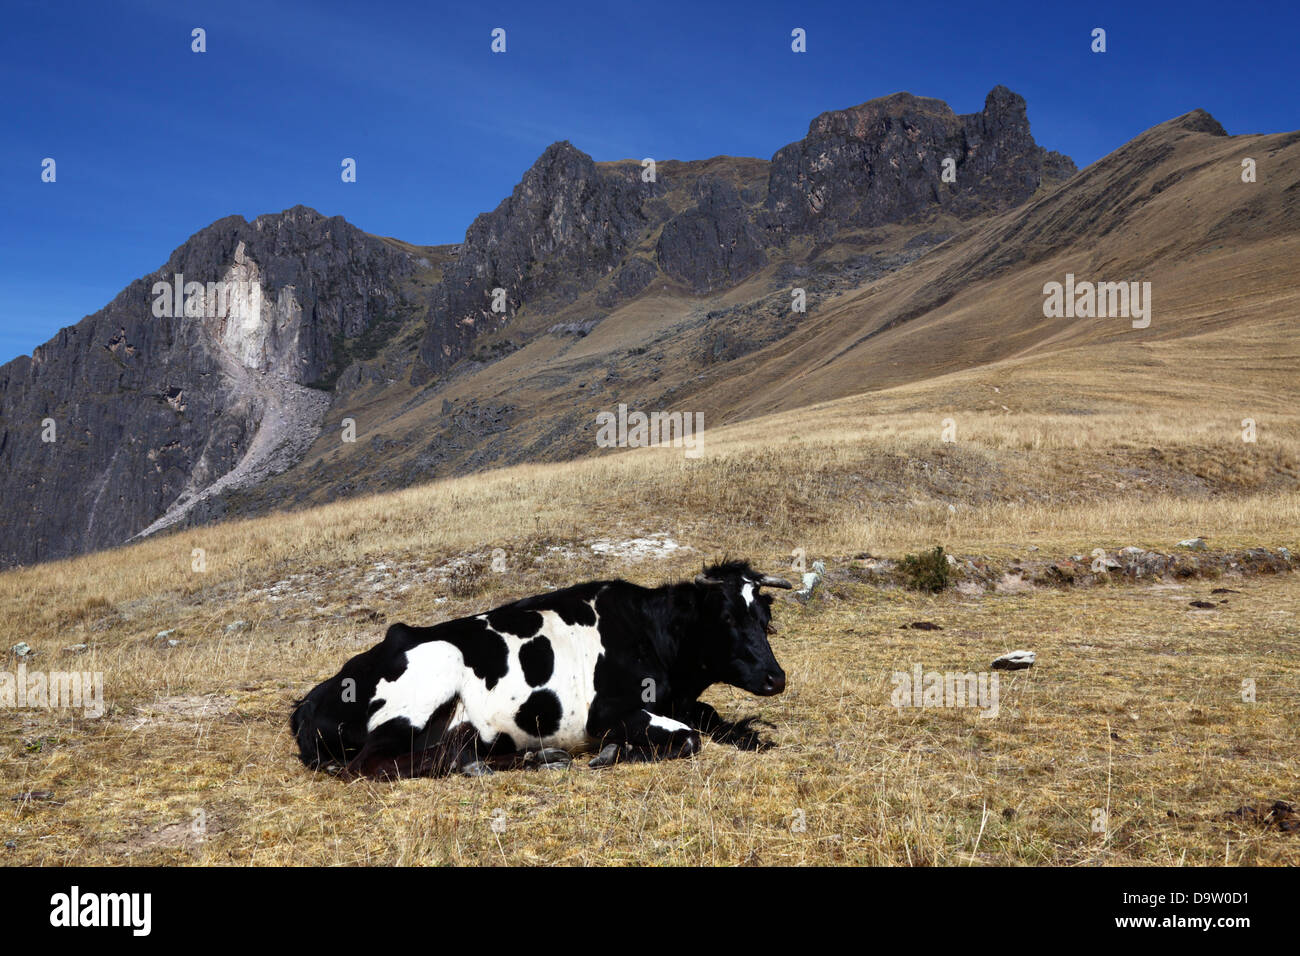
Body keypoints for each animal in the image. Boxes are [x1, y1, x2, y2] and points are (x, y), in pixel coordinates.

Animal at [290, 560, 793, 779]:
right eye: (726, 618)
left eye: (764, 618)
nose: (776, 678)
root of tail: (309, 700)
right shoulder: (607, 712)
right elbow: (690, 737)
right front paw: (616, 753)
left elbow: (709, 717)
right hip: (428, 681)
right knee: (373, 765)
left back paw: (534, 757)